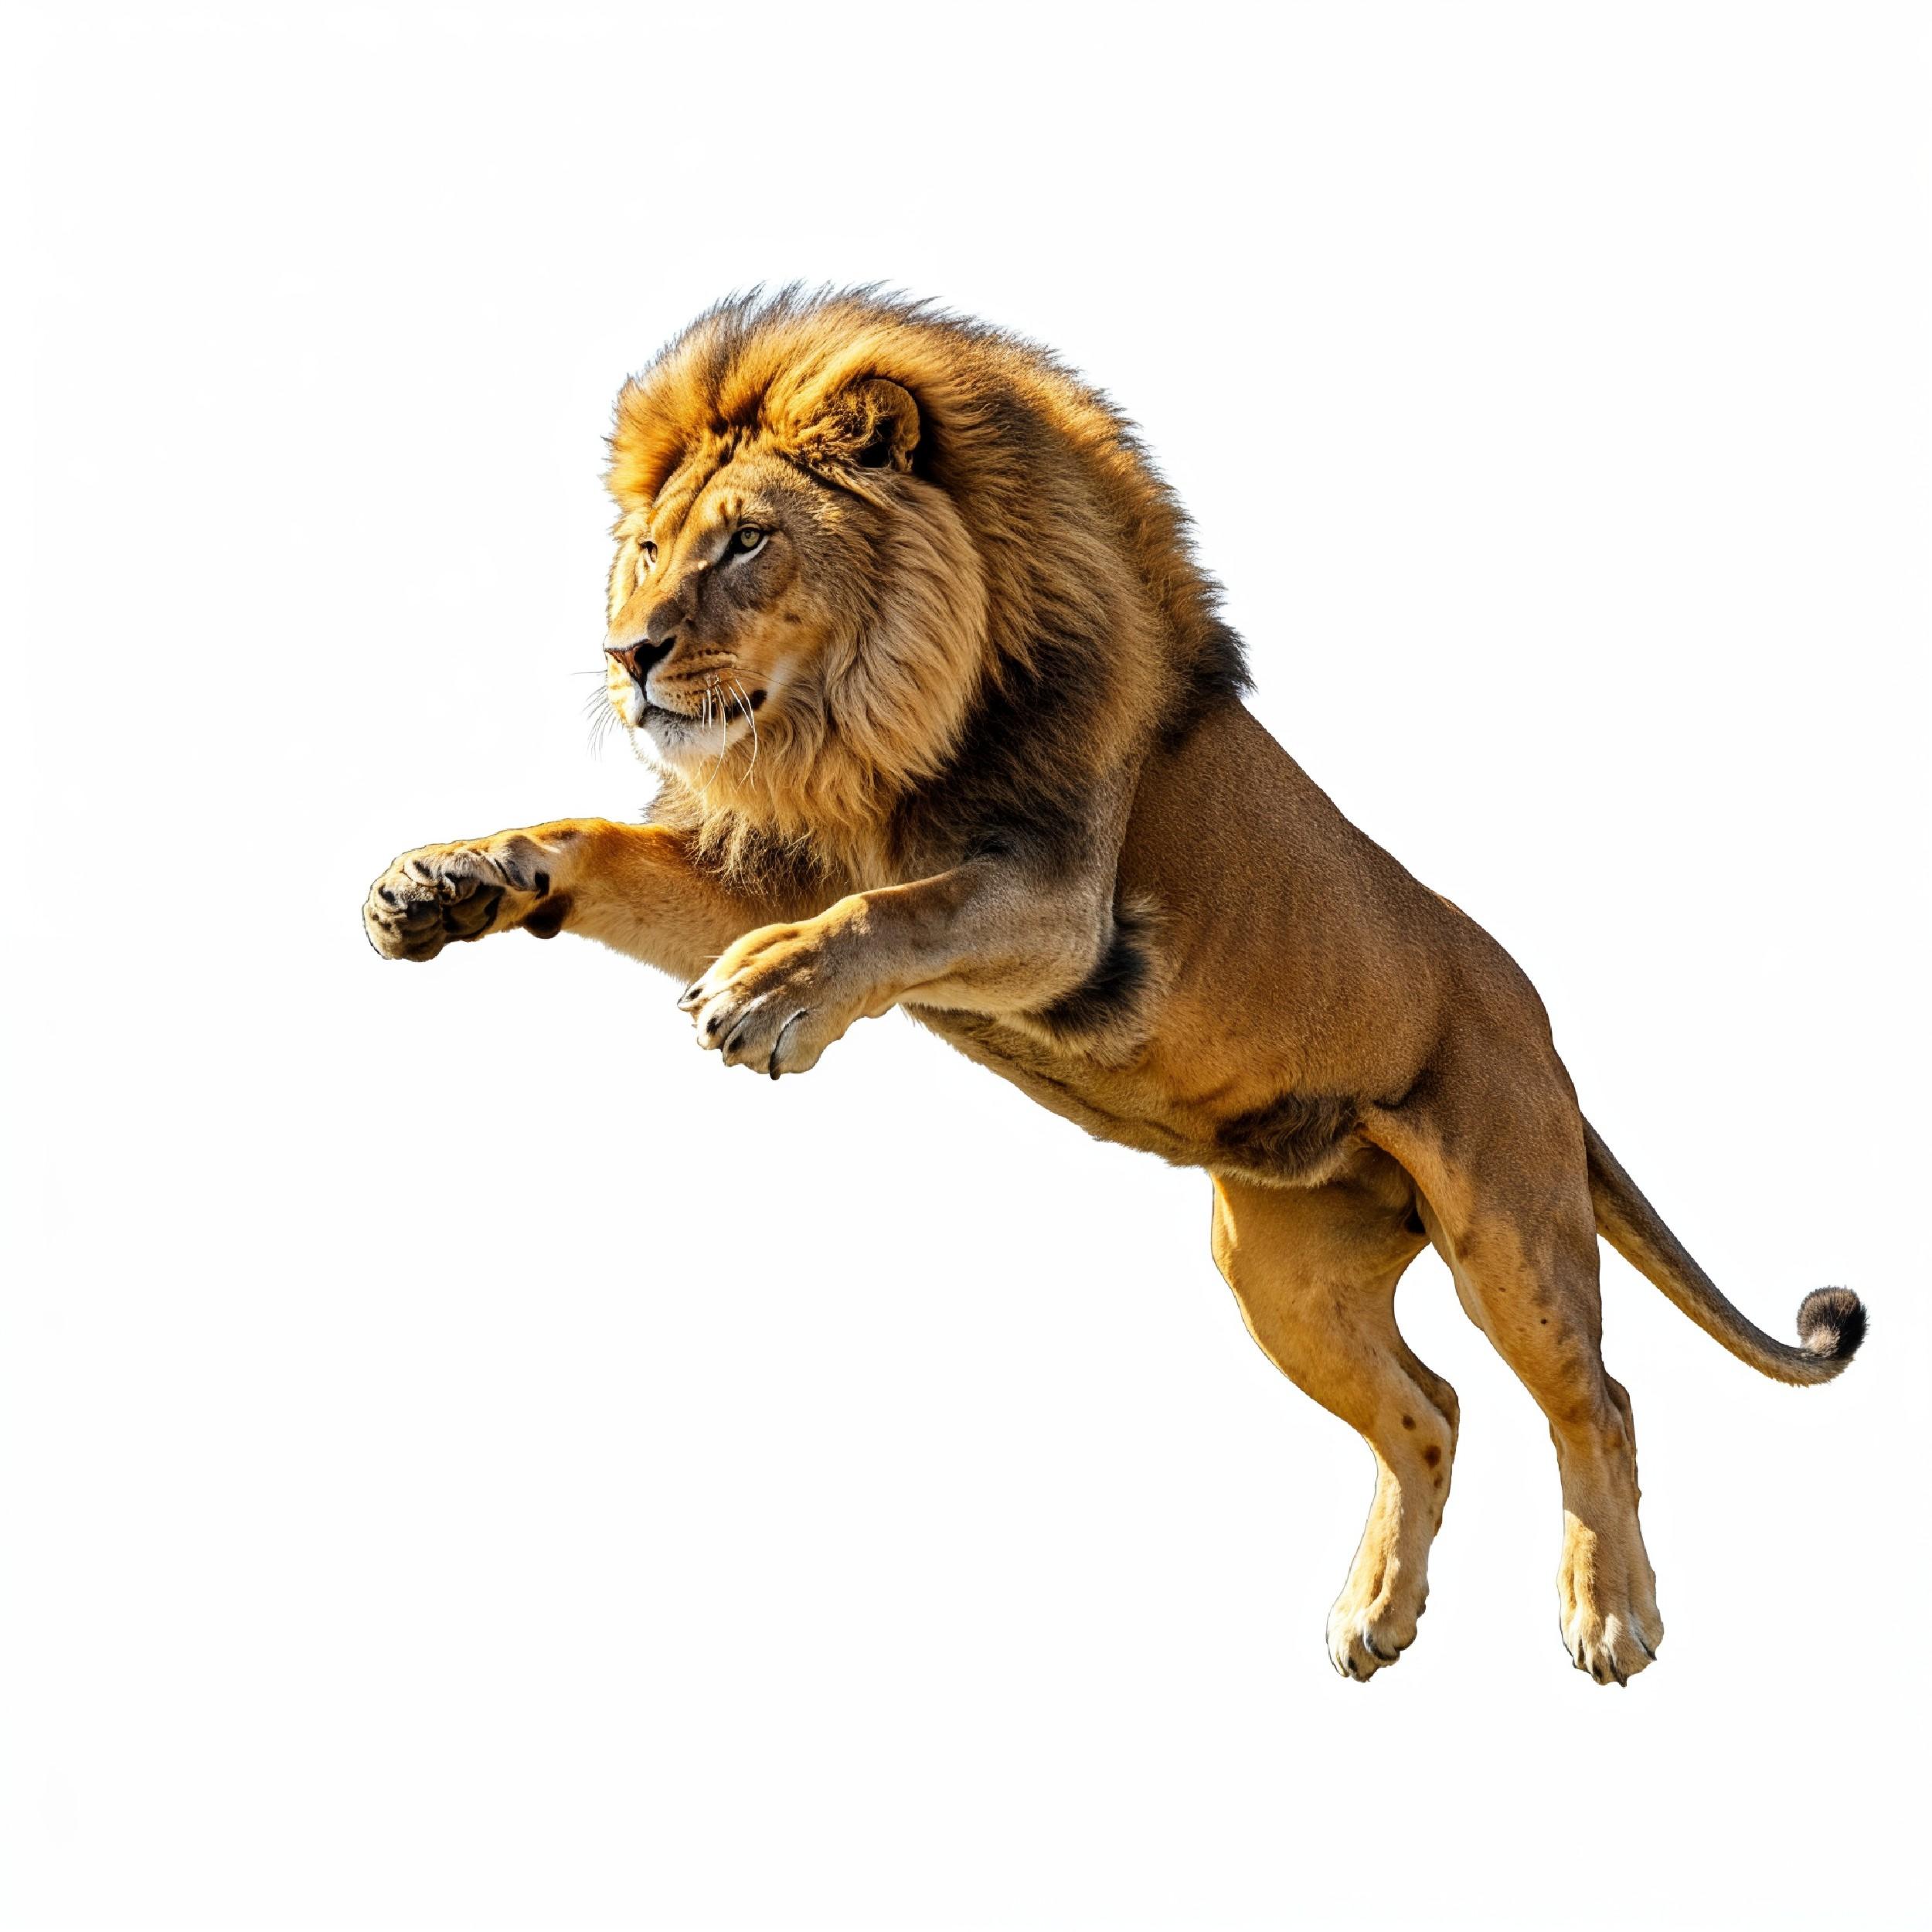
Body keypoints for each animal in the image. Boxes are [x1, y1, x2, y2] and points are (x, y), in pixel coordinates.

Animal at [363, 288, 1865, 1683]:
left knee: (1597, 1400)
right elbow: (596, 847)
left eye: (747, 542)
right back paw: (1374, 1618)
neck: (854, 731)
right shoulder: (771, 866)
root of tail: (1537, 1020)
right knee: (1431, 1410)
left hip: (1513, 1226)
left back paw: (1610, 1616)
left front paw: (777, 996)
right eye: (646, 550)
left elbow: (898, 912)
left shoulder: (1060, 905)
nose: (631, 655)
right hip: (1279, 1271)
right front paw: (449, 881)